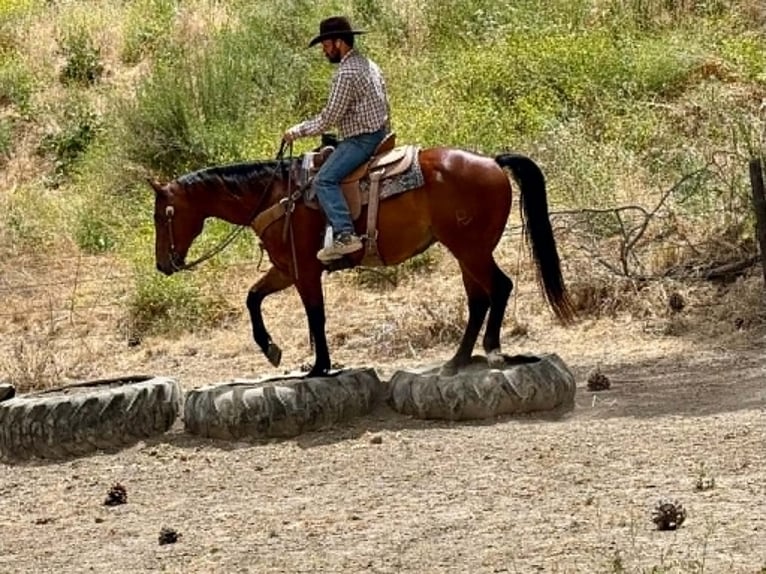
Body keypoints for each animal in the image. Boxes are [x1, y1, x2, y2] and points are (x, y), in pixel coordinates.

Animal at [148, 144, 575, 377]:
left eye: (160, 215)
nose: (163, 265)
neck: (276, 194)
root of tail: (492, 161)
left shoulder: (305, 271)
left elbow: (315, 316)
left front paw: (319, 366)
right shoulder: (285, 269)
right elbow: (253, 298)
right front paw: (271, 350)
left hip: (469, 249)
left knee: (498, 288)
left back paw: (491, 352)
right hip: (466, 251)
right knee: (479, 299)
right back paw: (456, 361)